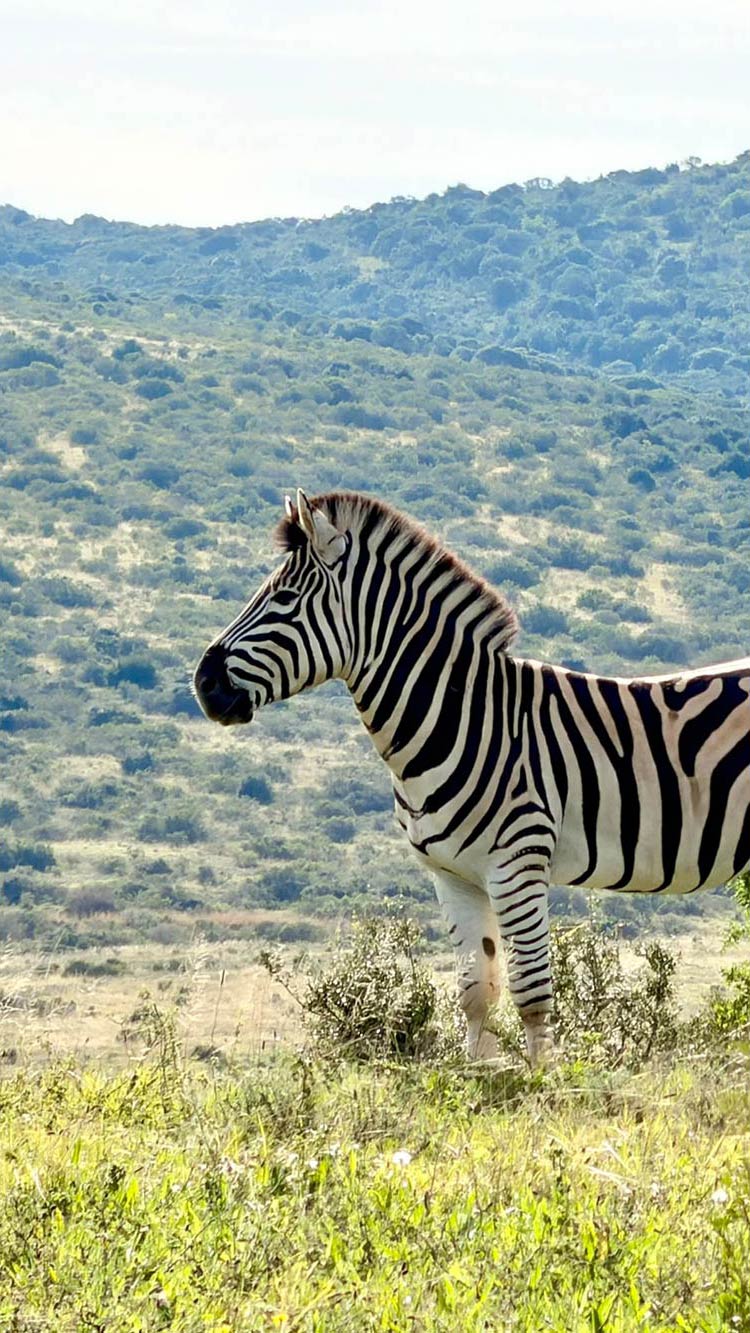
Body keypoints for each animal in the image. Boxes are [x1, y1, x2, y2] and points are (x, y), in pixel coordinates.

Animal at [193, 489, 750, 1066]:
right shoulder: (451, 875)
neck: (465, 717)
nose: (203, 684)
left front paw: (542, 1080)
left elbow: (531, 991)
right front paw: (479, 1077)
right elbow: (475, 989)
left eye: (283, 599)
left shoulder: (518, 862)